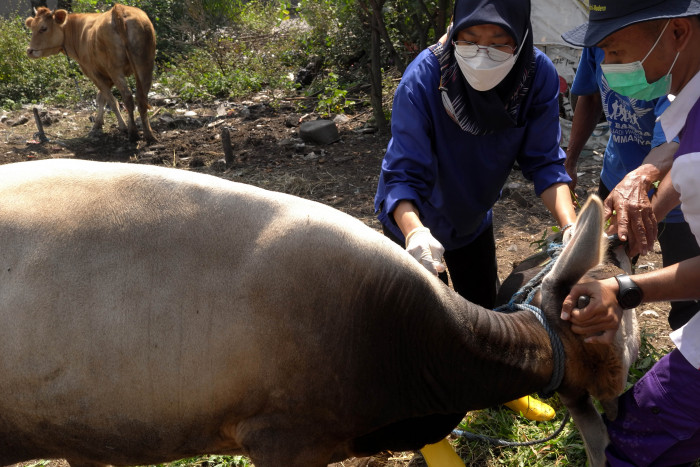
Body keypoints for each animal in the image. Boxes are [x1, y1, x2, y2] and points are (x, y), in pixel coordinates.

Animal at [25, 4, 157, 144]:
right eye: (32, 27)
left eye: (43, 28)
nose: (29, 51)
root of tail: (118, 9)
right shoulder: (106, 76)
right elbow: (101, 98)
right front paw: (98, 123)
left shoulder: (93, 72)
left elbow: (110, 100)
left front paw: (121, 126)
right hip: (145, 65)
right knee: (141, 98)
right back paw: (149, 135)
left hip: (115, 70)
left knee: (127, 97)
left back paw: (133, 134)